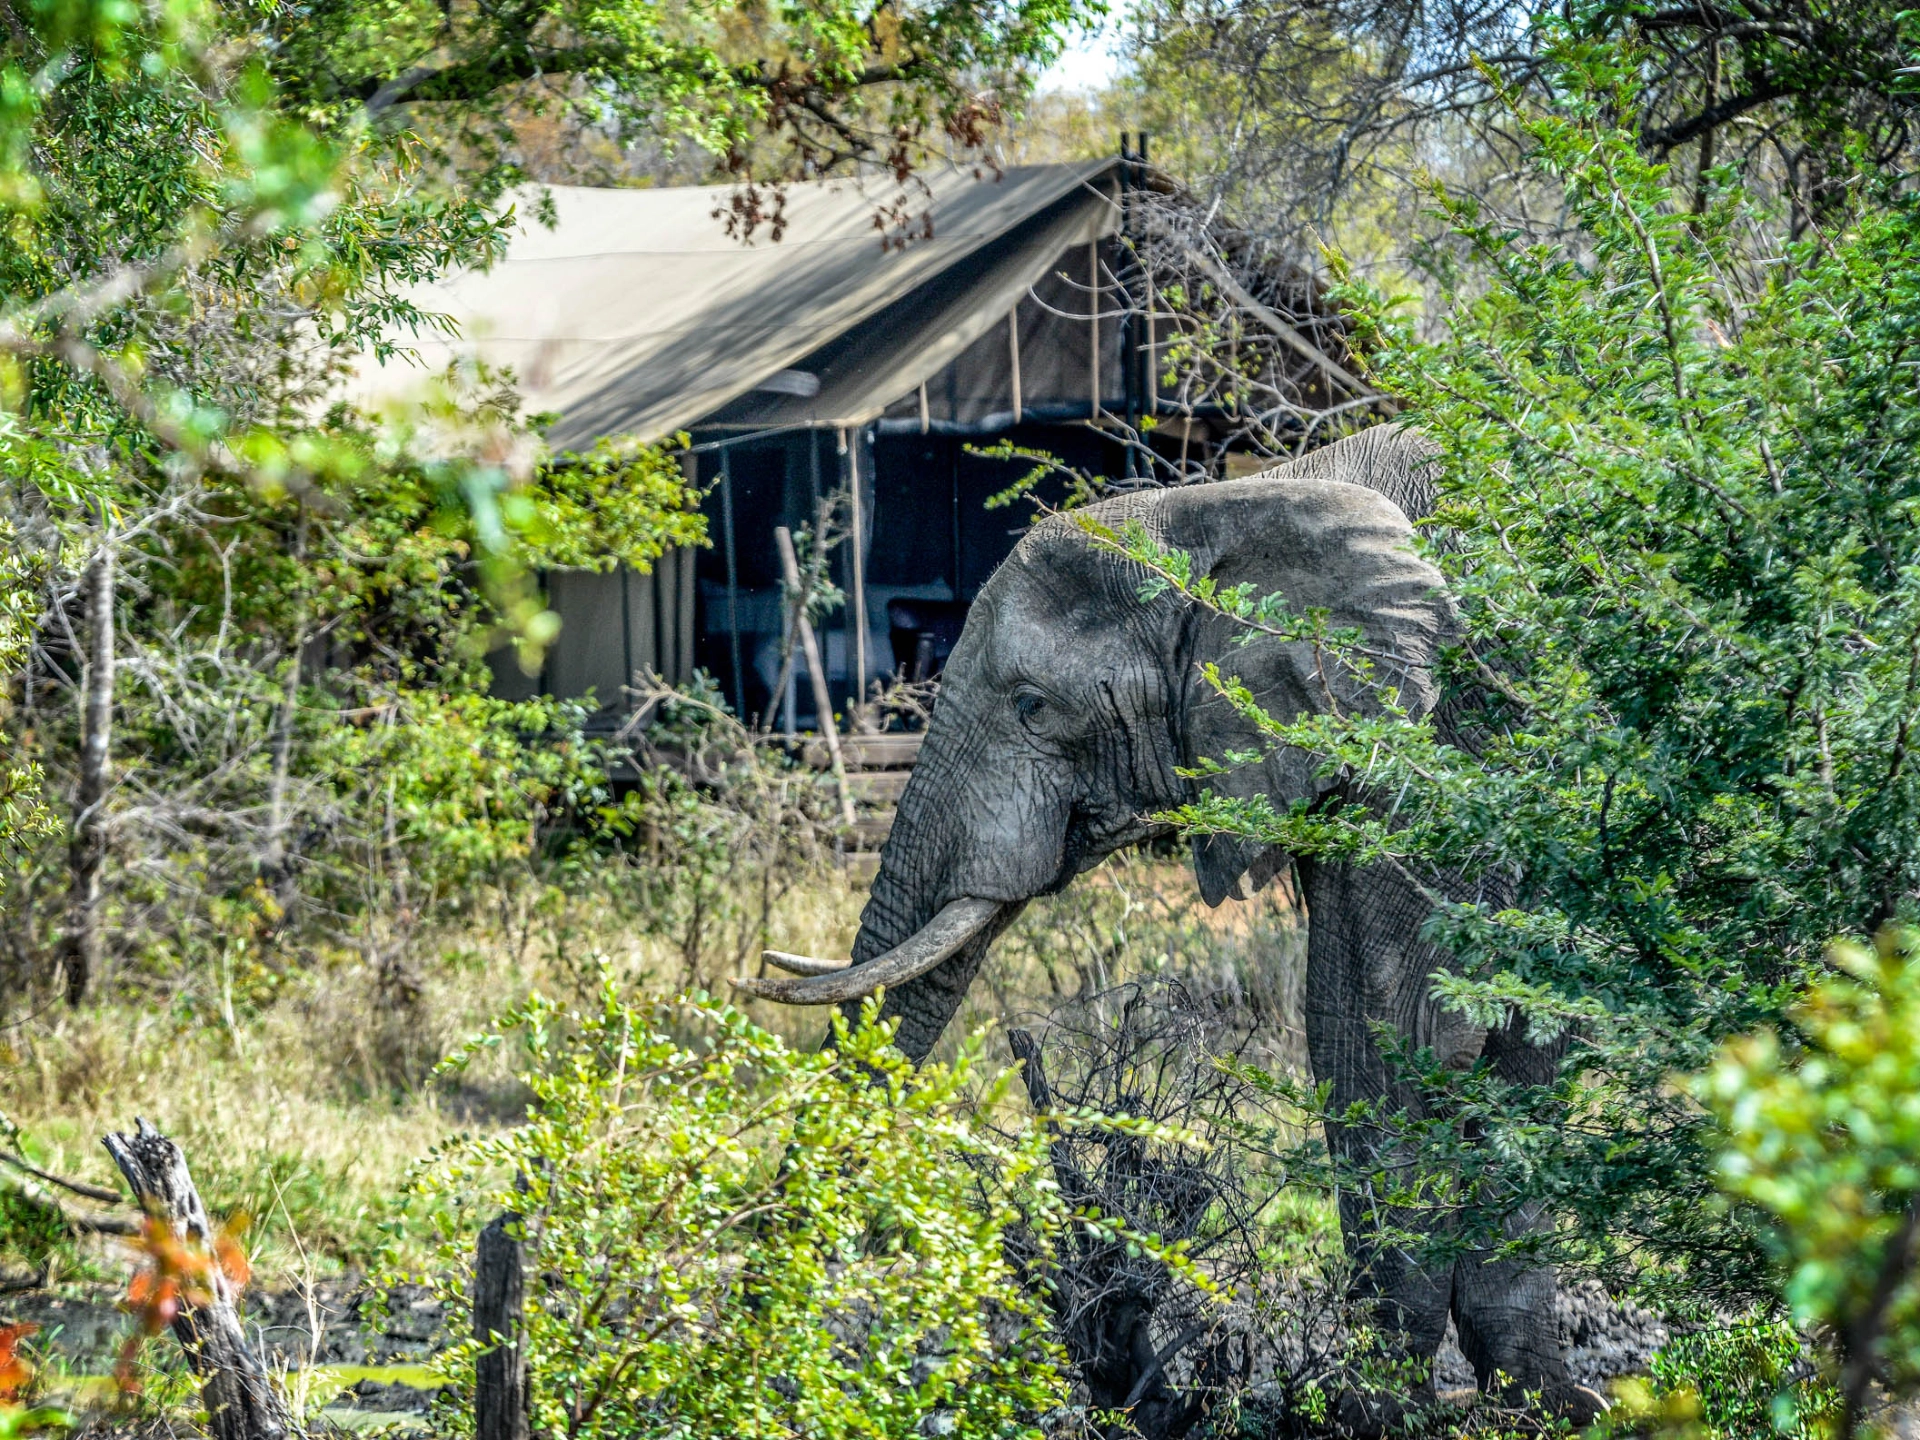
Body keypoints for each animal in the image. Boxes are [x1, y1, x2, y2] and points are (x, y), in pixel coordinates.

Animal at [741, 426, 1597, 1436]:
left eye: (1033, 706)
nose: (765, 1358)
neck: (1235, 504)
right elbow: (1443, 1022)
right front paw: (1543, 1402)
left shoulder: (1436, 741)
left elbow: (1398, 1021)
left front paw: (1374, 1411)